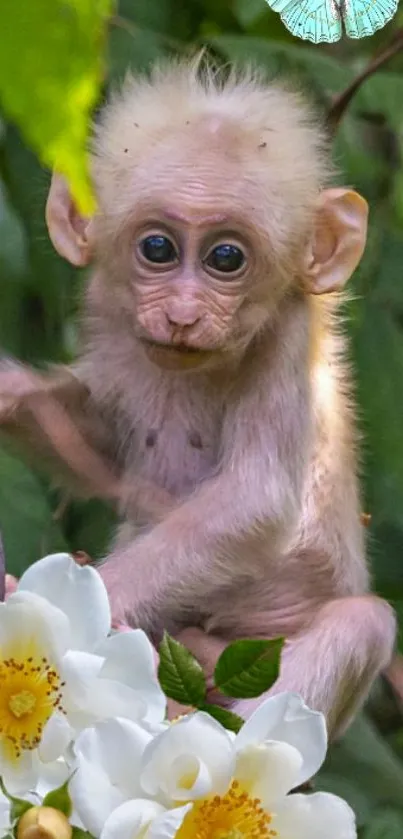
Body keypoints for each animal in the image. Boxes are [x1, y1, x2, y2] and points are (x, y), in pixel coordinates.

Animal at [0, 60, 396, 740]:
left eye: (226, 258)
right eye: (157, 249)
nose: (184, 315)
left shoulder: (290, 337)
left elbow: (256, 499)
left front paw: (83, 606)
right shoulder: (109, 318)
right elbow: (99, 439)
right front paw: (11, 392)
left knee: (362, 622)